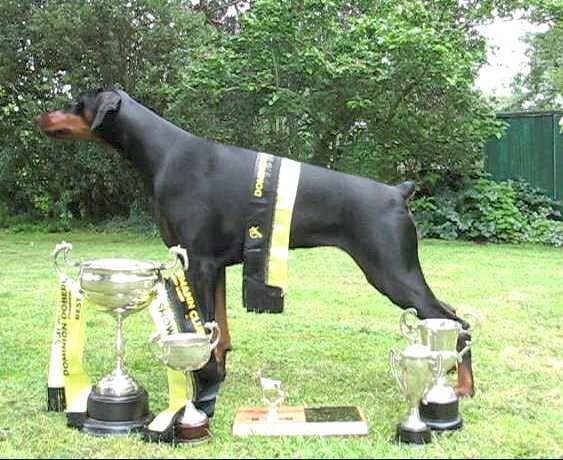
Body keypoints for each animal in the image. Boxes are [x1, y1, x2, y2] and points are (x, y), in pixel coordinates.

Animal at [38, 88, 476, 418]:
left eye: (77, 102)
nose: (41, 118)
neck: (164, 154)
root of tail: (398, 191)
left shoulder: (197, 261)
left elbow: (204, 328)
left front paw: (201, 393)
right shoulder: (214, 265)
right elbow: (220, 331)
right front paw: (216, 379)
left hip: (391, 270)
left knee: (457, 322)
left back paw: (460, 389)